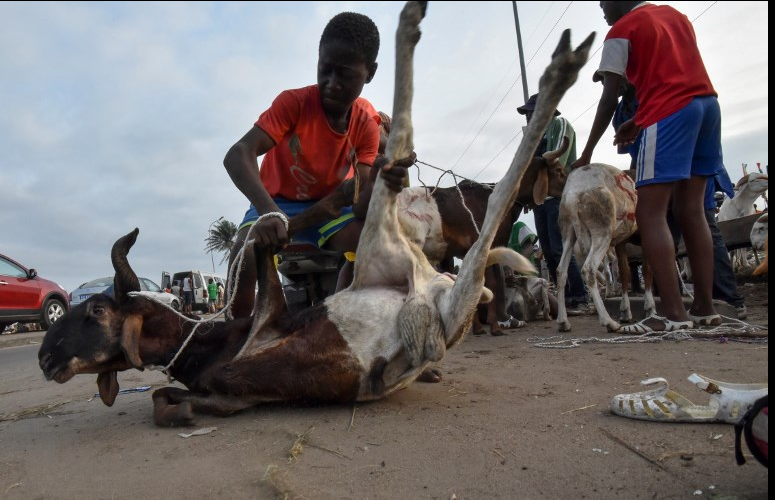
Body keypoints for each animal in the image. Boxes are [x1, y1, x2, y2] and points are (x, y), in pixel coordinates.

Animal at [36, 1, 596, 428]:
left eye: (96, 311)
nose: (44, 357)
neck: (202, 345)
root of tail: (431, 288)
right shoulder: (228, 394)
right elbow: (163, 402)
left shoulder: (269, 317)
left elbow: (265, 269)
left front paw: (271, 233)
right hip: (422, 287)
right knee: (479, 243)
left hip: (392, 250)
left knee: (453, 187)